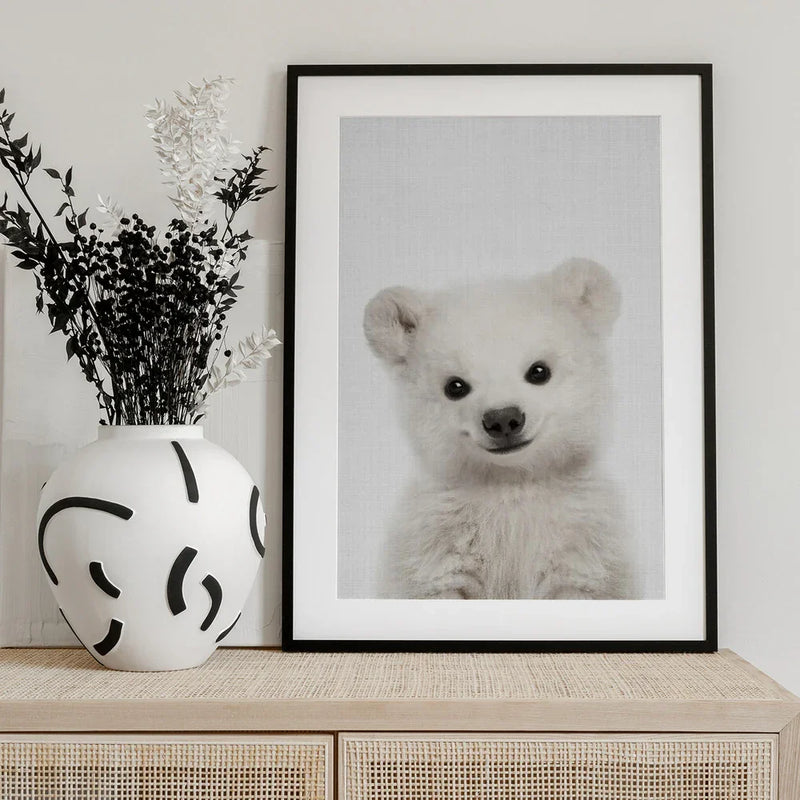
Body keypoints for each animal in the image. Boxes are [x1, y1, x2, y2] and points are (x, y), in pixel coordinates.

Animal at [363, 258, 630, 600]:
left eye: (539, 371)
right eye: (455, 386)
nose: (503, 419)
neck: (510, 484)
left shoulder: (581, 544)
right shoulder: (437, 545)